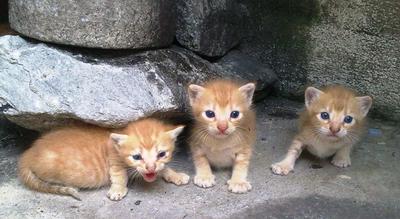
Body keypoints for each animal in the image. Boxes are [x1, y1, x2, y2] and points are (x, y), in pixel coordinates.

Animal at [17, 118, 189, 200]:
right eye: (137, 157)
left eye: (161, 154)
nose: (150, 168)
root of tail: (28, 154)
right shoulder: (115, 162)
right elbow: (120, 176)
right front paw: (118, 190)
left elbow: (164, 168)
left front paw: (176, 175)